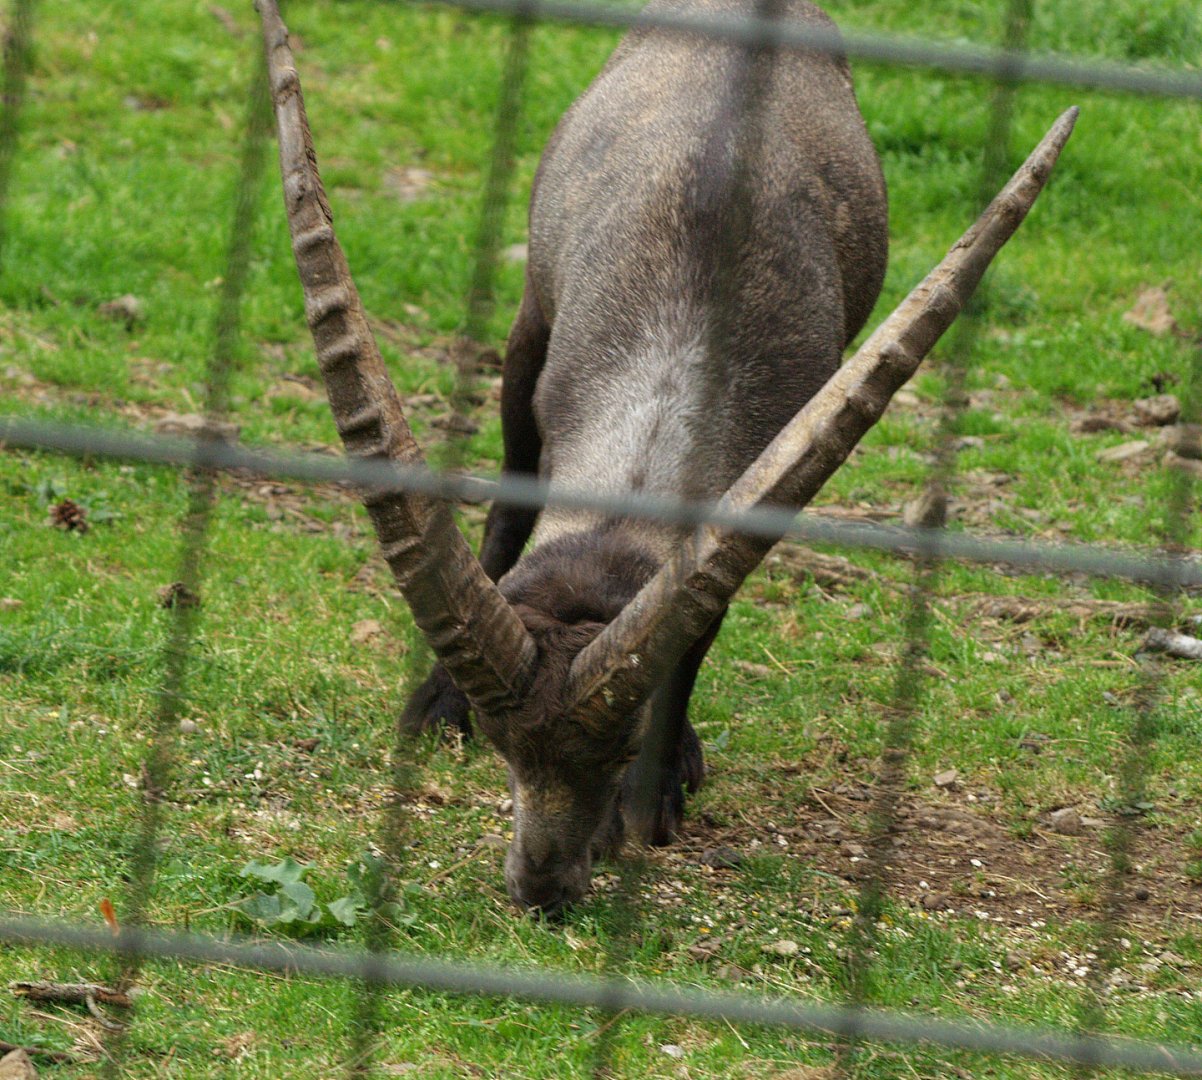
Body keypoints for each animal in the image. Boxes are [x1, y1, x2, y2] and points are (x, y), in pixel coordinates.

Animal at [257, 0, 1075, 916]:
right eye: (505, 750)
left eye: (620, 747)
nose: (542, 887)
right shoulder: (539, 349)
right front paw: (439, 703)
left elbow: (702, 625)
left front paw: (655, 792)